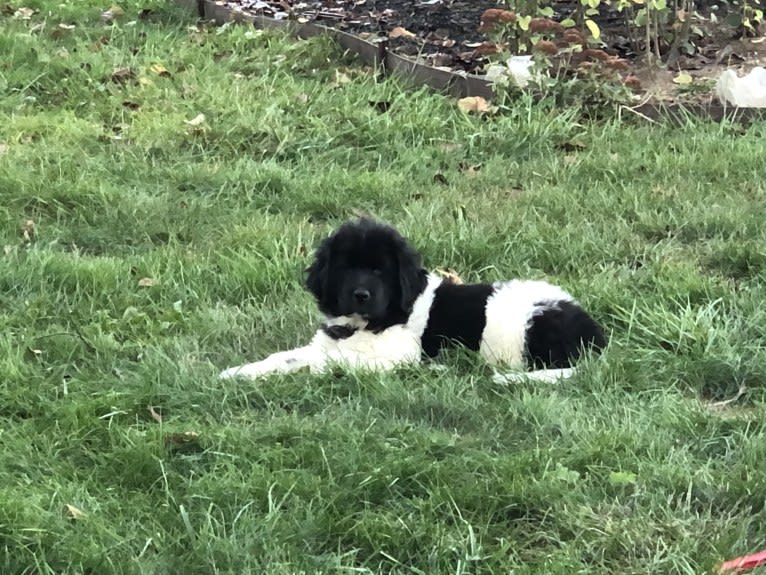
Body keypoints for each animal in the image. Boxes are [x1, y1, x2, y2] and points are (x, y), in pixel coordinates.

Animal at [219, 219, 608, 382]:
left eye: (380, 271)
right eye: (347, 268)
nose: (361, 294)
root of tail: (593, 333)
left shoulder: (396, 354)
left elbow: (325, 362)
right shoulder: (328, 342)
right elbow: (285, 356)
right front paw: (240, 371)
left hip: (517, 329)